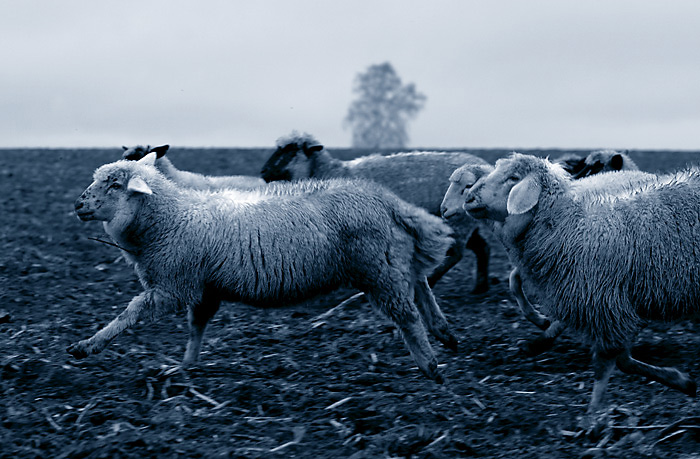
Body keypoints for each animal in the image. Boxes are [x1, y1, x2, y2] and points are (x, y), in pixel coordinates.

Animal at [68, 153, 456, 382]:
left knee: (406, 313)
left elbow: (130, 313)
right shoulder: (203, 288)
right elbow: (196, 327)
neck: (172, 216)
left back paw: (430, 365)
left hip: (377, 269)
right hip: (388, 260)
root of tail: (384, 198)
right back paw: (443, 331)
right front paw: (185, 365)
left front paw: (87, 345)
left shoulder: (174, 285)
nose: (78, 205)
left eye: (114, 184)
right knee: (420, 282)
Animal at [258, 131, 492, 292]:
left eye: (291, 150)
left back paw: (434, 280)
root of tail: (485, 166)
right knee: (481, 248)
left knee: (457, 253)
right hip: (463, 219)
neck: (329, 172)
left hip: (458, 220)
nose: (263, 172)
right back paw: (480, 287)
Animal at [464, 153, 700, 416]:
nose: (468, 197)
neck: (570, 228)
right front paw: (682, 381)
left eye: (513, 178)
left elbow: (608, 364)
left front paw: (593, 415)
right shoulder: (600, 304)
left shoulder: (604, 304)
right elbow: (623, 360)